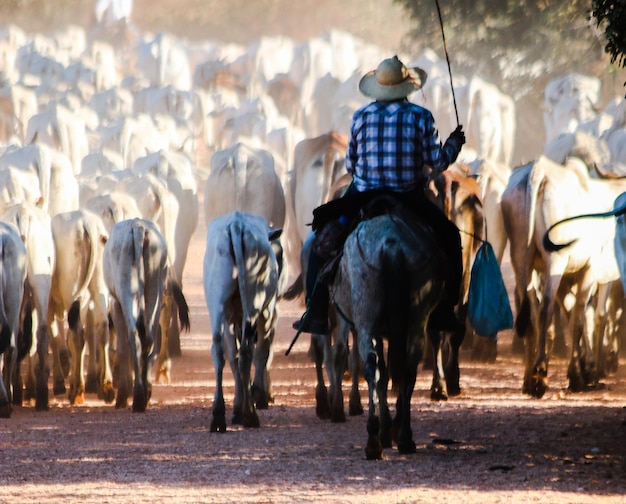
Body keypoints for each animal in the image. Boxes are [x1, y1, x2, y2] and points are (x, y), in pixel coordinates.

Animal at [204, 211, 284, 432]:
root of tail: (237, 223)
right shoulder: (268, 313)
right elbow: (261, 353)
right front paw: (257, 397)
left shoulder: (229, 319)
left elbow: (233, 357)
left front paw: (238, 407)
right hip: (255, 302)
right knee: (248, 352)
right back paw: (250, 414)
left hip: (217, 302)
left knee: (219, 352)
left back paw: (219, 415)